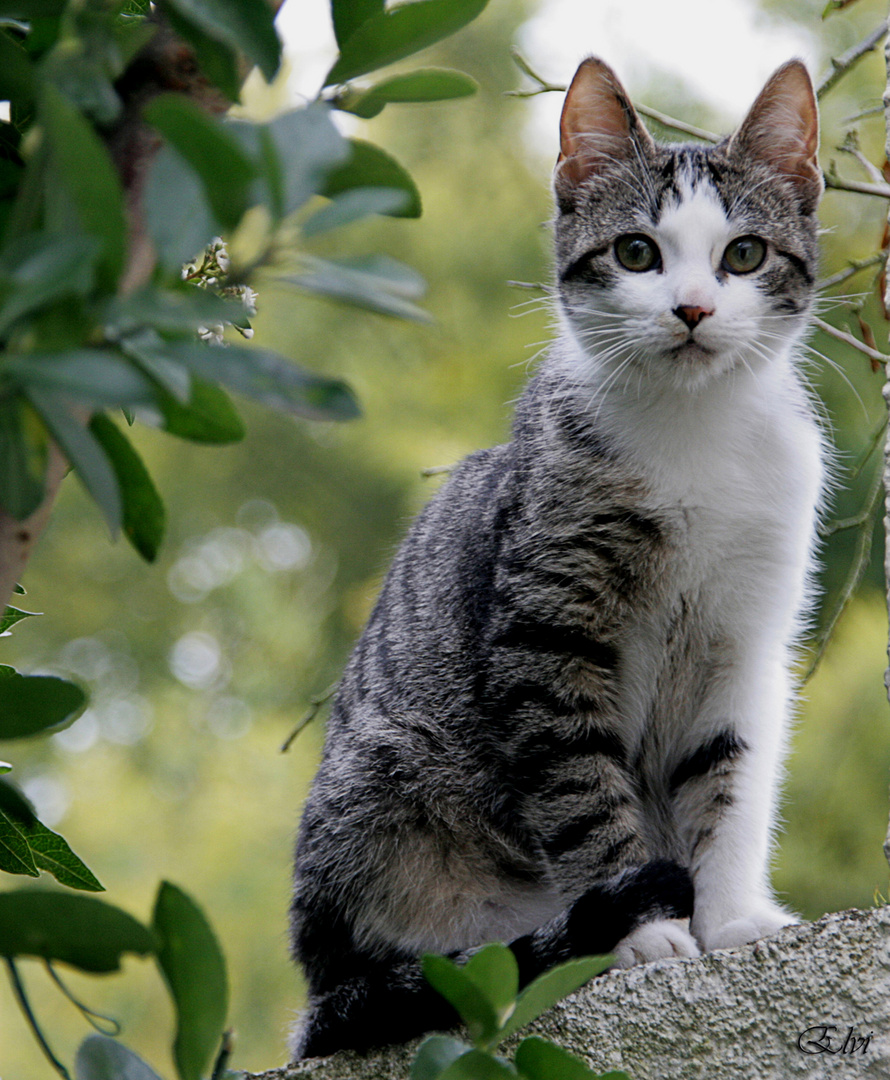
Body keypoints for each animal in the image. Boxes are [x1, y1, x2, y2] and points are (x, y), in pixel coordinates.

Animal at [289, 54, 825, 1058]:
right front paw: (644, 934)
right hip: (379, 789)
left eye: (743, 256)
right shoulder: (545, 629)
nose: (693, 310)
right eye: (637, 254)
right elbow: (579, 782)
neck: (695, 433)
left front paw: (732, 918)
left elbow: (732, 777)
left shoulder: (747, 637)